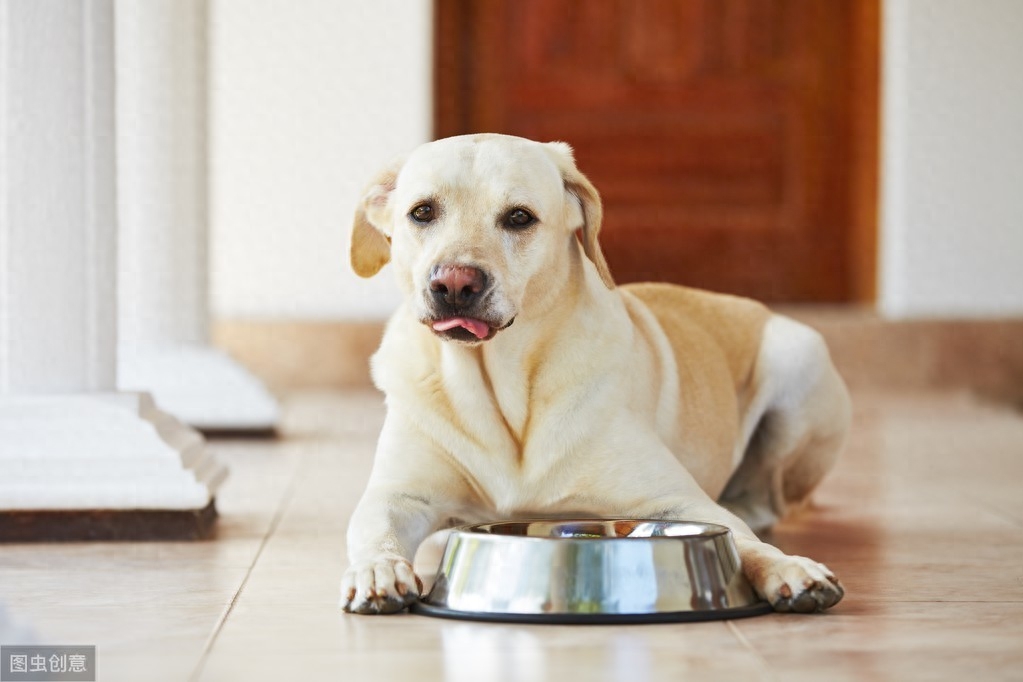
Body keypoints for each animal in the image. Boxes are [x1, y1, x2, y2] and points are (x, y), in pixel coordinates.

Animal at [339, 135, 851, 617]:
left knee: (764, 503)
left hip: (798, 359)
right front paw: (377, 570)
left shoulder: (681, 500)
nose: (454, 284)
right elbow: (374, 530)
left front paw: (788, 567)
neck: (501, 388)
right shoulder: (399, 496)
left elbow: (740, 539)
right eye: (422, 212)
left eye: (519, 217)